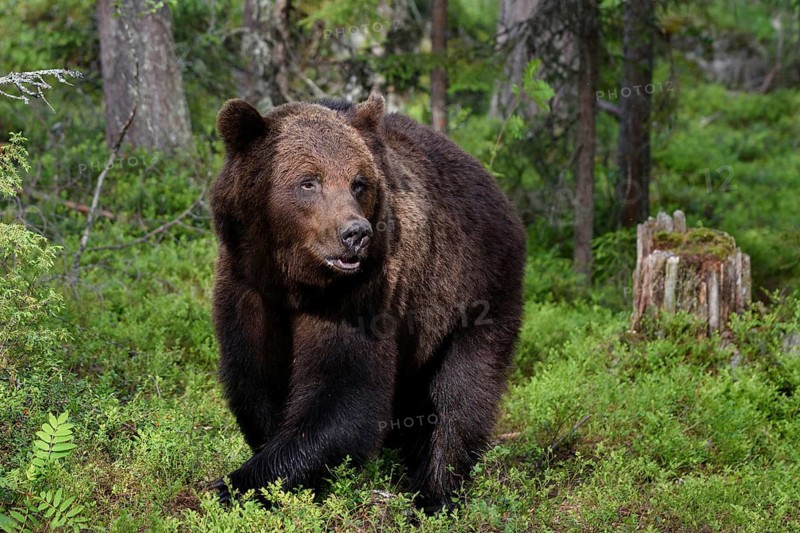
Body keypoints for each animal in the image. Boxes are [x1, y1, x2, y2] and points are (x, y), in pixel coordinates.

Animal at [209, 93, 526, 513]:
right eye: (308, 181)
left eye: (358, 182)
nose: (355, 233)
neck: (294, 282)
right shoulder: (247, 288)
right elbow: (254, 378)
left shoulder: (359, 294)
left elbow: (345, 394)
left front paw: (235, 484)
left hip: (475, 291)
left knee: (462, 394)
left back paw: (433, 494)